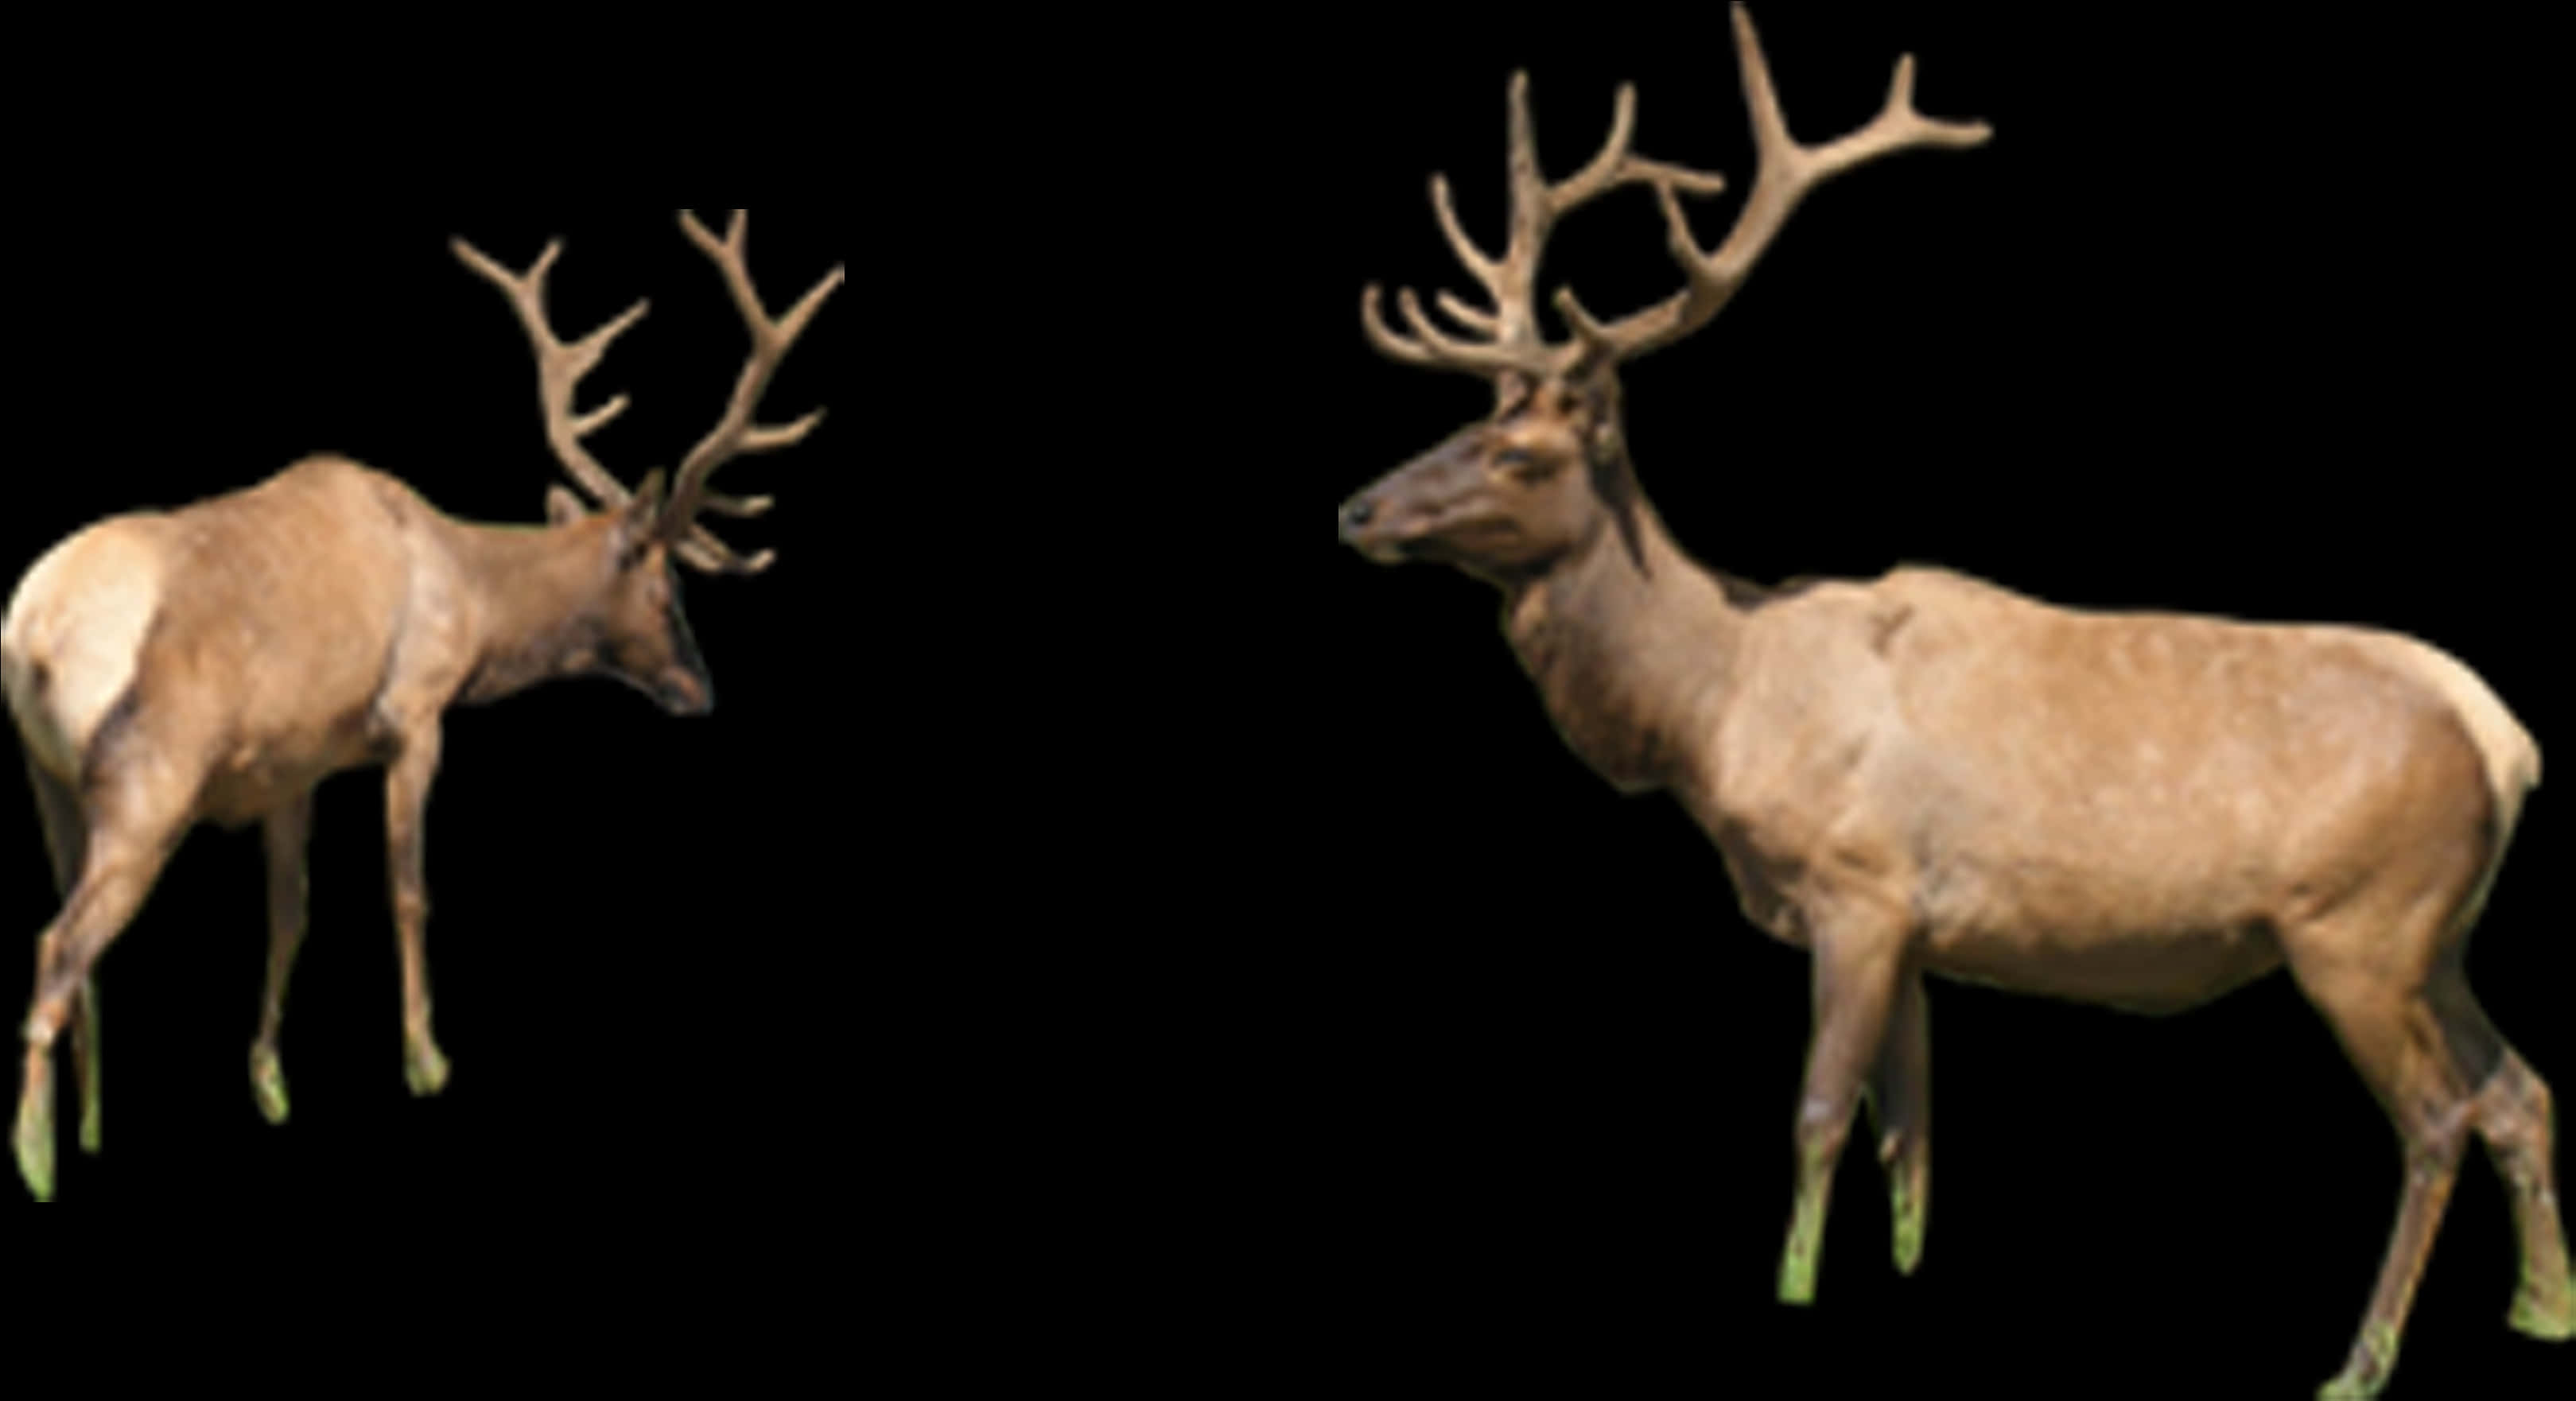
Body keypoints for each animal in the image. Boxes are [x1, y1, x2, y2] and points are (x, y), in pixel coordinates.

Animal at [2, 208, 845, 1205]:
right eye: (664, 587)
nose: (699, 690)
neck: (470, 600)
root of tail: (31, 629)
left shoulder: (292, 768)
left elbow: (289, 911)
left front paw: (271, 1082)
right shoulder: (415, 714)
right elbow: (406, 889)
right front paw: (426, 1058)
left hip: (50, 783)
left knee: (78, 945)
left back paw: (92, 1125)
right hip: (149, 789)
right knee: (58, 942)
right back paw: (35, 1154)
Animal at [1339, 8, 2566, 1391]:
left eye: (1516, 451)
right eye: (1459, 421)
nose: (1359, 509)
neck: (1716, 715)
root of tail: (2504, 739)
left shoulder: (1857, 888)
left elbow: (1820, 1115)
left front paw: (1791, 1292)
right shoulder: (1921, 930)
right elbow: (1909, 1134)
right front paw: (1907, 1274)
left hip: (2354, 923)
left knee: (2437, 1115)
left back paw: (2358, 1359)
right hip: (2438, 935)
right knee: (2519, 1091)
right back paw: (2544, 1310)